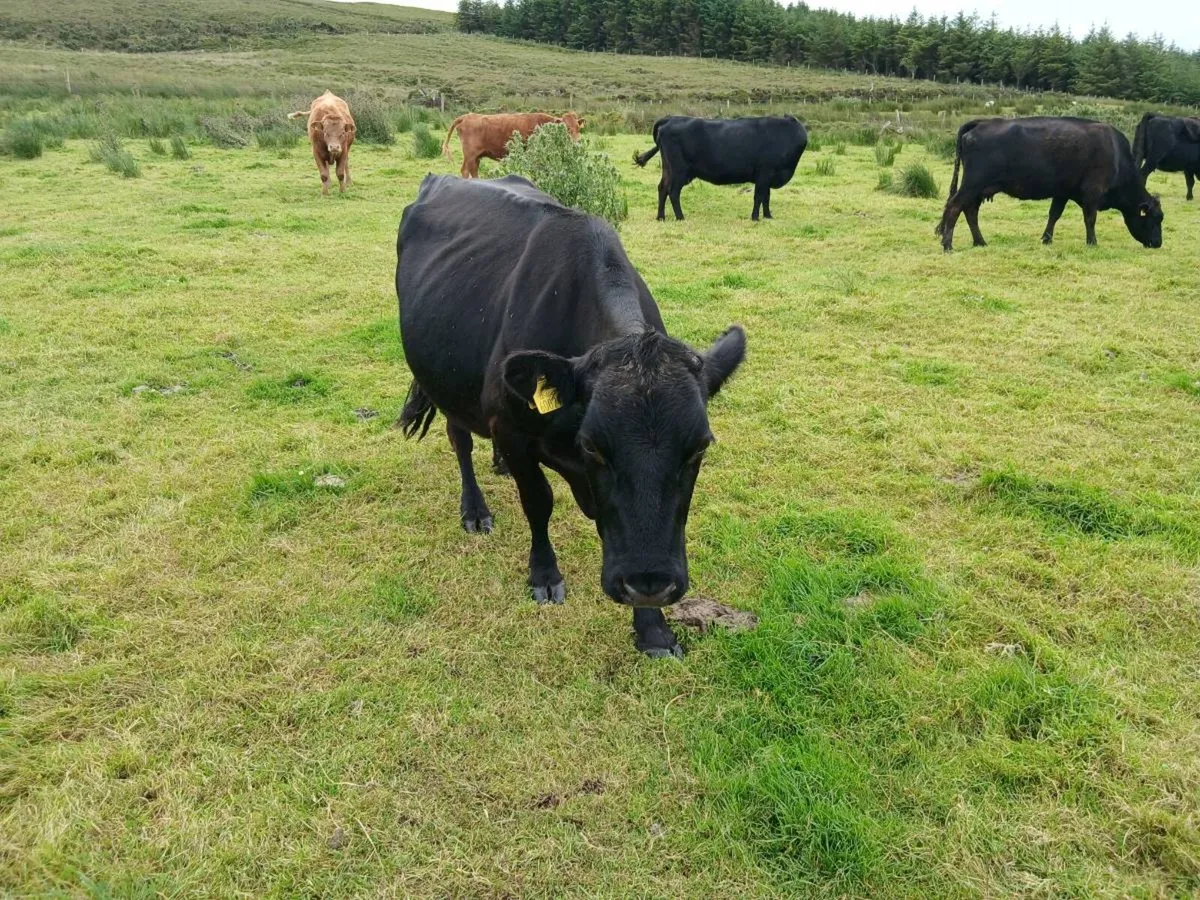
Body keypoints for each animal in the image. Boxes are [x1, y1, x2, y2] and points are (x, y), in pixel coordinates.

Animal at [396, 175, 746, 658]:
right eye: (593, 446)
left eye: (698, 449)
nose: (650, 582)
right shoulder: (512, 427)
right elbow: (539, 501)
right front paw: (545, 576)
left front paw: (652, 628)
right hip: (444, 382)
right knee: (459, 439)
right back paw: (475, 509)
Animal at [441, 112, 584, 178]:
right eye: (566, 128)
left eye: (578, 128)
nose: (577, 143)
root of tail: (466, 116)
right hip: (470, 154)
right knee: (465, 171)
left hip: (476, 156)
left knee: (474, 171)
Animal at [633, 115, 808, 221]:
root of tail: (670, 118)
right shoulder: (765, 173)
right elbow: (759, 196)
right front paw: (755, 217)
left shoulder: (767, 176)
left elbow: (766, 196)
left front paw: (768, 216)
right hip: (679, 171)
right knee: (673, 191)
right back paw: (680, 217)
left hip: (669, 169)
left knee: (662, 188)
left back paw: (661, 217)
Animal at [936, 117, 1163, 251]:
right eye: (1155, 219)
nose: (1158, 243)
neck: (1115, 154)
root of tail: (982, 122)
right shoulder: (1092, 194)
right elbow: (1090, 219)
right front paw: (1092, 243)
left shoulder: (1062, 192)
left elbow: (1054, 214)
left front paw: (1046, 239)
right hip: (972, 184)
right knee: (955, 207)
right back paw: (948, 246)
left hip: (979, 189)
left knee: (970, 211)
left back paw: (980, 242)